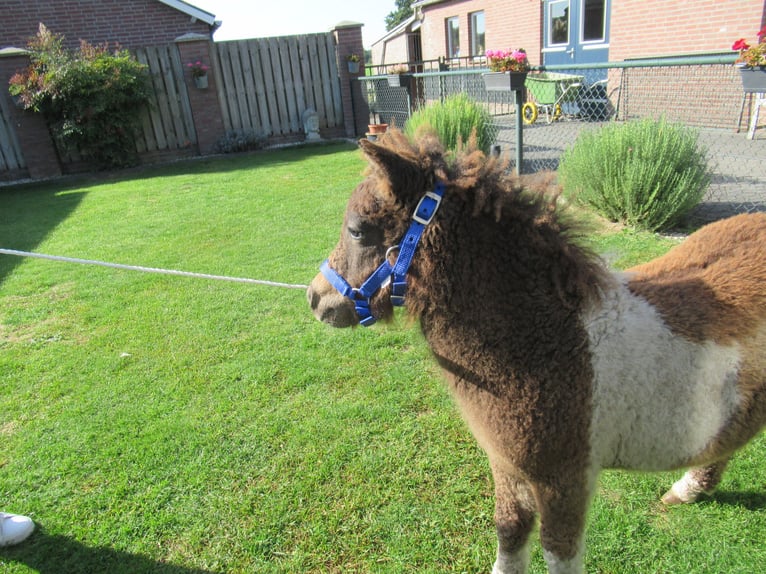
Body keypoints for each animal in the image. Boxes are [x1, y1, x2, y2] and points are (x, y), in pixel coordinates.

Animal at [306, 129, 766, 573]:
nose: (315, 298)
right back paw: (687, 490)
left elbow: (557, 552)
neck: (544, 338)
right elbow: (509, 533)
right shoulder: (508, 468)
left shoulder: (565, 481)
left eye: (357, 230)